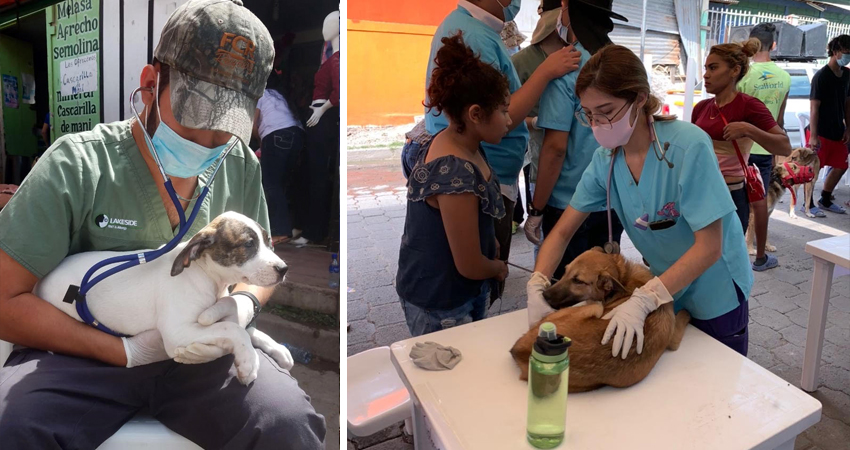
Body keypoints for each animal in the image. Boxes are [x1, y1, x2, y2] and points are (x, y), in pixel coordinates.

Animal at [34, 211, 294, 384]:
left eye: (269, 242)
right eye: (249, 244)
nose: (283, 269)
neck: (204, 274)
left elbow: (244, 326)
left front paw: (276, 347)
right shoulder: (178, 331)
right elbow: (234, 330)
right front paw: (249, 361)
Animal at [510, 248, 688, 392]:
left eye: (578, 281)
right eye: (565, 271)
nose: (544, 296)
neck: (623, 277)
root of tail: (522, 350)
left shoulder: (674, 340)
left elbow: (683, 315)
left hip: (595, 307)